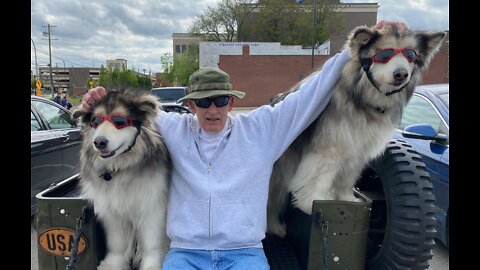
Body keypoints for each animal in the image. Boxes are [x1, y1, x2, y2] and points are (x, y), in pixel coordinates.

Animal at [70, 90, 170, 270]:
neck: (119, 169)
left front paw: (152, 265)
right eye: (95, 122)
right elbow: (117, 243)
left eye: (119, 122)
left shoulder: (152, 208)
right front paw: (112, 264)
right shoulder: (113, 211)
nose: (99, 142)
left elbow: (152, 243)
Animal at [266, 21, 446, 236]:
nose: (401, 74)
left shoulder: (358, 149)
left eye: (411, 55)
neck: (363, 101)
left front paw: (347, 199)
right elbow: (317, 179)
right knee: (271, 201)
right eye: (384, 54)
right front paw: (311, 203)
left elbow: (347, 179)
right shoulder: (328, 150)